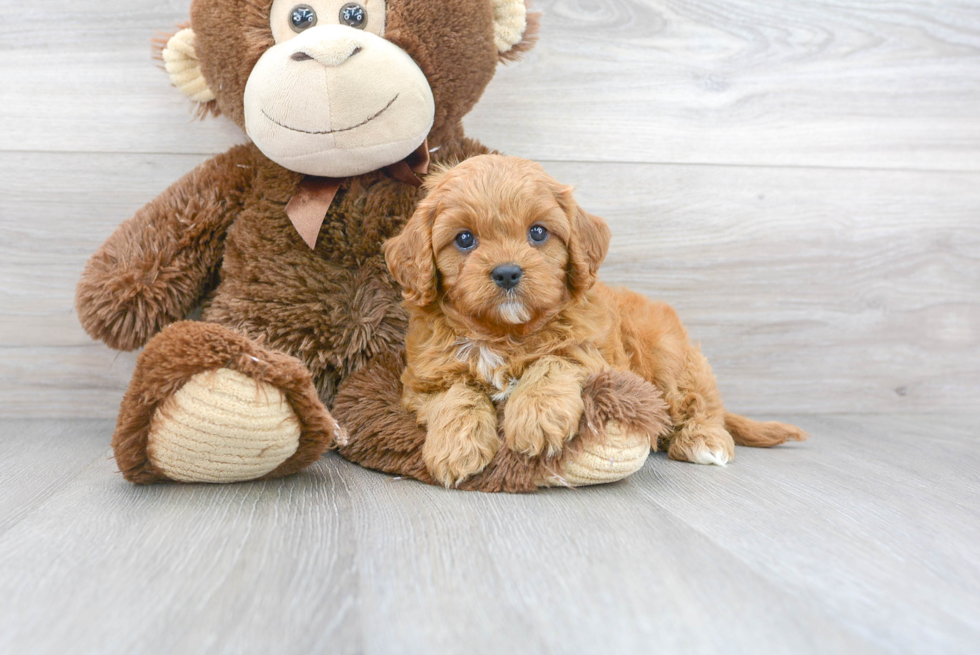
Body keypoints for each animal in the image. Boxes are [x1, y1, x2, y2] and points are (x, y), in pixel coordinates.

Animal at [382, 154, 804, 486]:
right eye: (464, 239)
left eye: (538, 232)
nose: (506, 273)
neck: (506, 333)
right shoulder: (424, 380)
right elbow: (456, 394)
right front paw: (457, 446)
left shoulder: (592, 353)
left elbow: (554, 360)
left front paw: (538, 416)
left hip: (670, 356)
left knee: (700, 404)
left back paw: (704, 441)